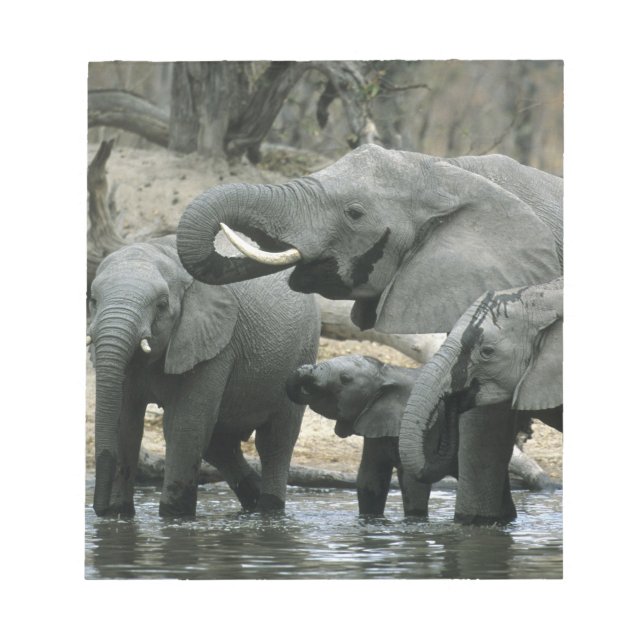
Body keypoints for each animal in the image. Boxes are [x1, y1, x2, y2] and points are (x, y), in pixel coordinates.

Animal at [87, 235, 320, 518]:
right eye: (93, 301)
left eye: (161, 305)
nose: (99, 509)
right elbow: (125, 424)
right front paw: (118, 515)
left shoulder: (214, 343)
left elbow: (184, 426)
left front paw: (174, 516)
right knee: (220, 445)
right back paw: (251, 504)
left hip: (301, 353)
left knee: (275, 441)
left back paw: (268, 510)